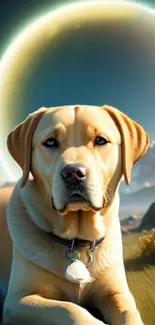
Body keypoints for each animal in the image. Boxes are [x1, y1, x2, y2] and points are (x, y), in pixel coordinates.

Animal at [0, 105, 149, 322]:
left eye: (100, 140)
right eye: (50, 142)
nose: (74, 173)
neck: (76, 242)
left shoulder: (118, 293)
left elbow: (130, 313)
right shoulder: (17, 300)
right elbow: (71, 310)